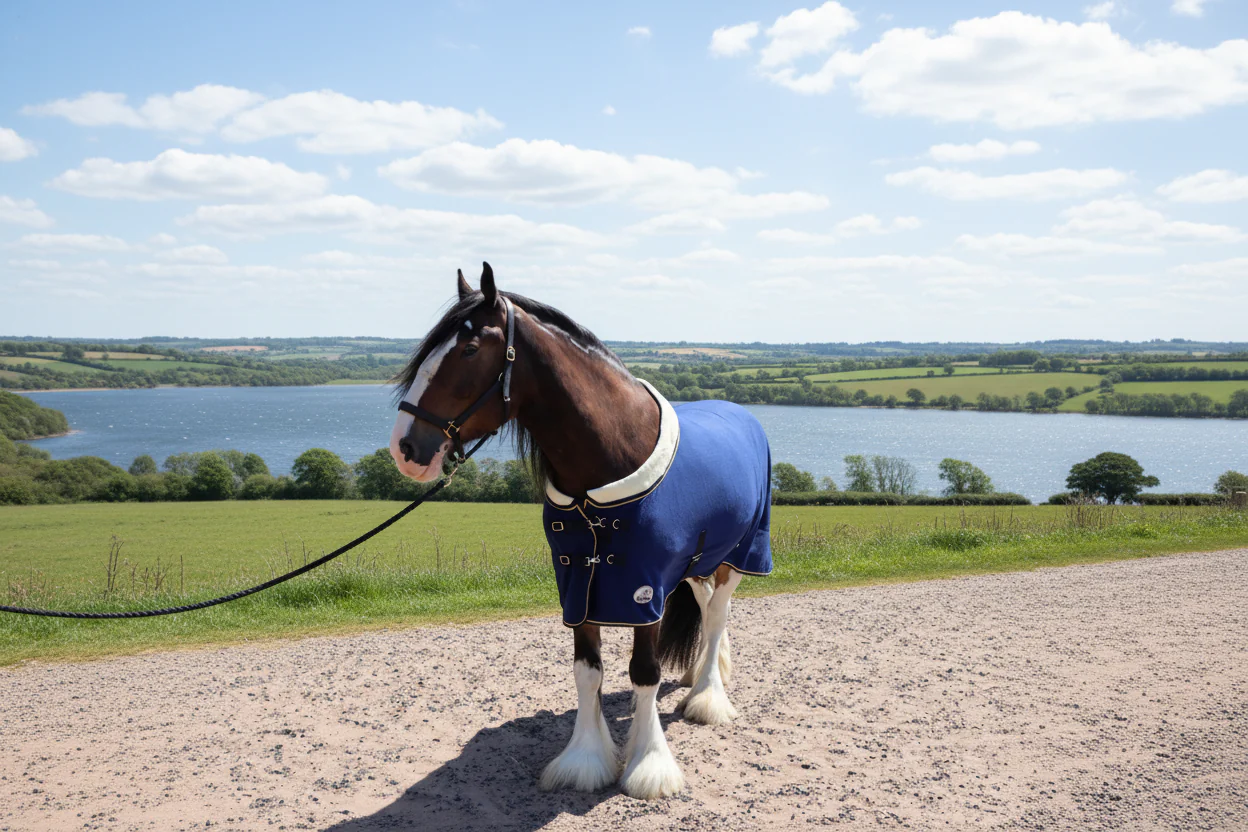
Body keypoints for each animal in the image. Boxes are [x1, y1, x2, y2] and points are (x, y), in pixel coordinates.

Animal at [388, 263, 772, 800]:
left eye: (469, 349)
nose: (405, 448)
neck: (613, 457)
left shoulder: (644, 586)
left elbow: (644, 673)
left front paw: (649, 765)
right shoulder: (577, 584)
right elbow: (587, 671)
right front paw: (586, 760)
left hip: (739, 553)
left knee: (716, 617)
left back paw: (707, 697)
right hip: (699, 560)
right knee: (703, 605)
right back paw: (703, 673)